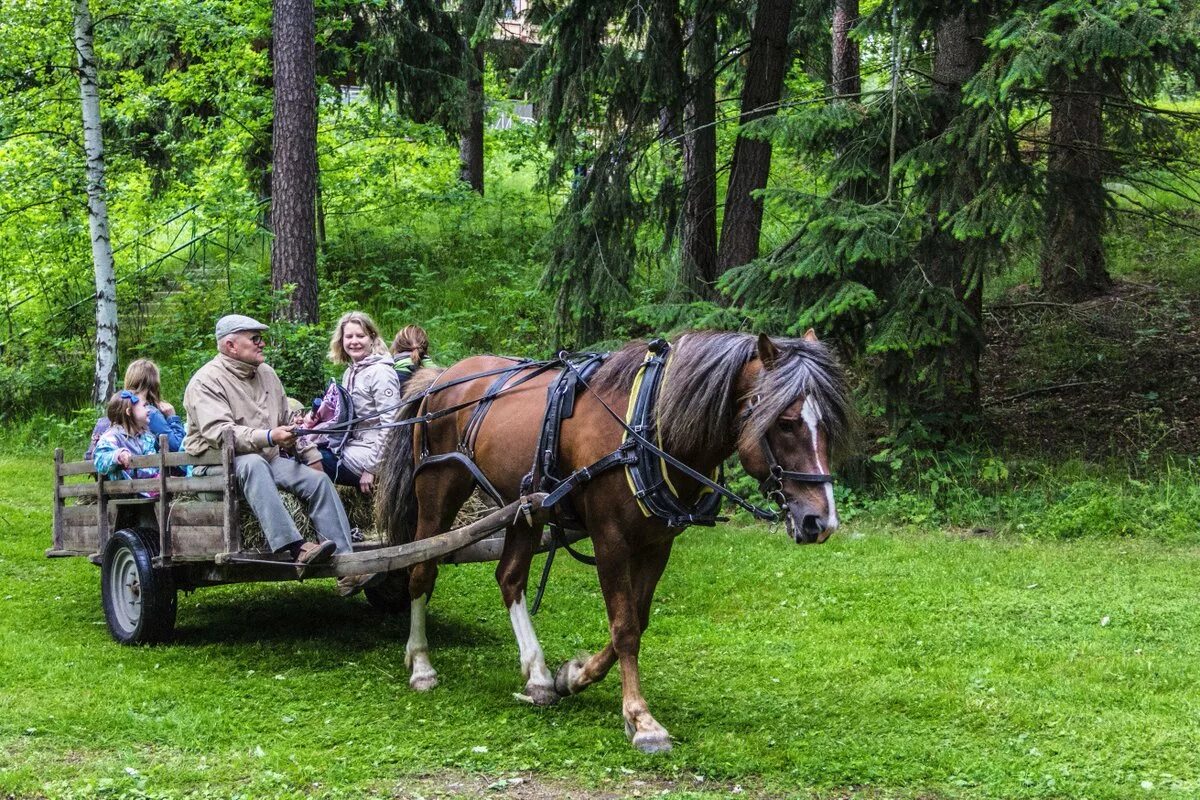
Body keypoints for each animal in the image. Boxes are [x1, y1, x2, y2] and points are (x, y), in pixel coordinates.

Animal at [374, 328, 854, 753]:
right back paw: (421, 663)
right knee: (421, 571)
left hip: (526, 504)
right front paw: (641, 720)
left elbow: (638, 621)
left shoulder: (657, 543)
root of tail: (441, 376)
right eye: (786, 422)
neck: (648, 428)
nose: (821, 521)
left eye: (829, 425)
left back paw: (538, 675)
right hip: (438, 490)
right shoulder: (610, 540)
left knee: (509, 578)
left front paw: (574, 675)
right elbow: (623, 627)